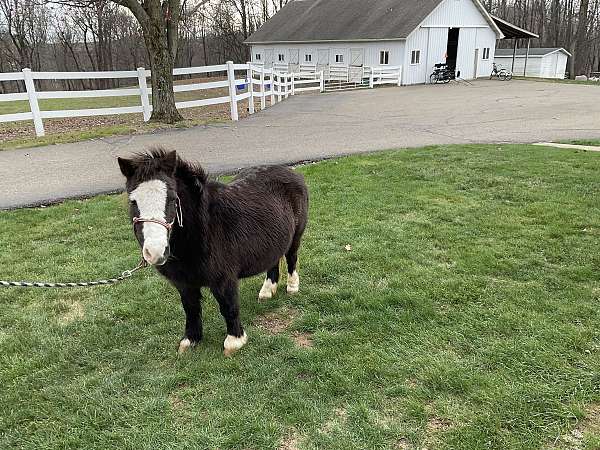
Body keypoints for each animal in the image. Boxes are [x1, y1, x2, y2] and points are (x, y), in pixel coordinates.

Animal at [119, 148, 312, 356]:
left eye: (172, 198)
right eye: (133, 201)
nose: (155, 251)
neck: (201, 230)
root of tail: (291, 172)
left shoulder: (223, 279)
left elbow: (228, 307)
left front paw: (234, 342)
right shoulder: (183, 282)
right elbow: (191, 308)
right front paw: (190, 340)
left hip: (296, 236)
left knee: (291, 257)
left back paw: (292, 286)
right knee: (273, 260)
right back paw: (268, 290)